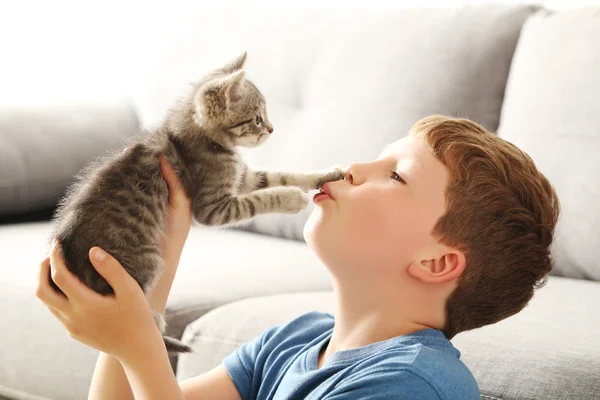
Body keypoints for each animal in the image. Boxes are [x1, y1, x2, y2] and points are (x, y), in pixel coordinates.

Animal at [49, 52, 344, 354]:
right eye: (257, 118)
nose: (272, 129)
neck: (203, 139)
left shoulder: (244, 178)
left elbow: (279, 175)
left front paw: (324, 175)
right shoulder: (213, 207)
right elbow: (258, 200)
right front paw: (292, 197)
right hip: (144, 260)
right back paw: (152, 321)